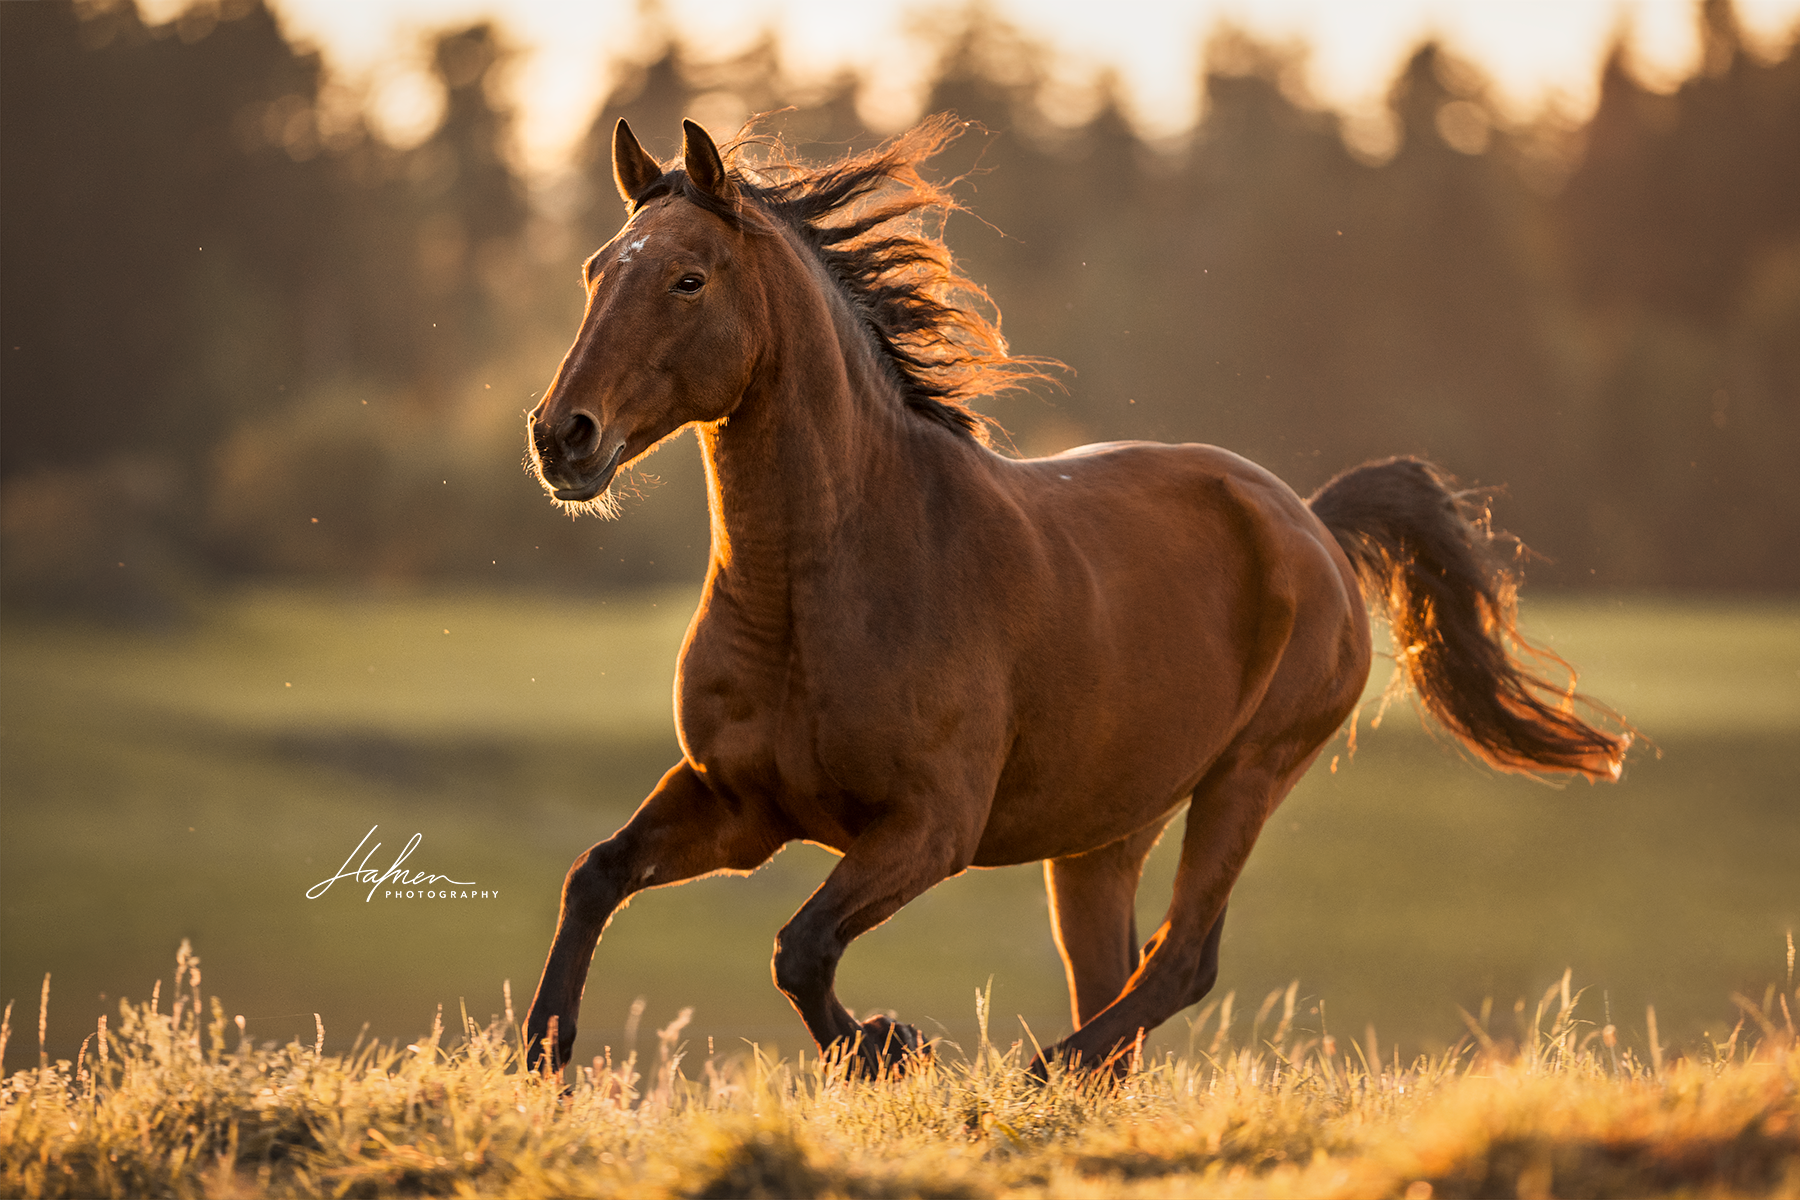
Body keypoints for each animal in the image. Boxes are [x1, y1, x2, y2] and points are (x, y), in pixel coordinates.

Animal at [522, 115, 1634, 1079]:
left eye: (688, 277)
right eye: (594, 270)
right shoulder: (738, 804)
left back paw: (1038, 1073)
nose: (561, 435)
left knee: (1179, 966)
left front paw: (892, 1047)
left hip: (1248, 777)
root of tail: (1312, 523)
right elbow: (597, 874)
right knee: (1121, 981)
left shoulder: (931, 829)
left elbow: (800, 948)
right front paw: (542, 1054)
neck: (820, 590)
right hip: (1106, 836)